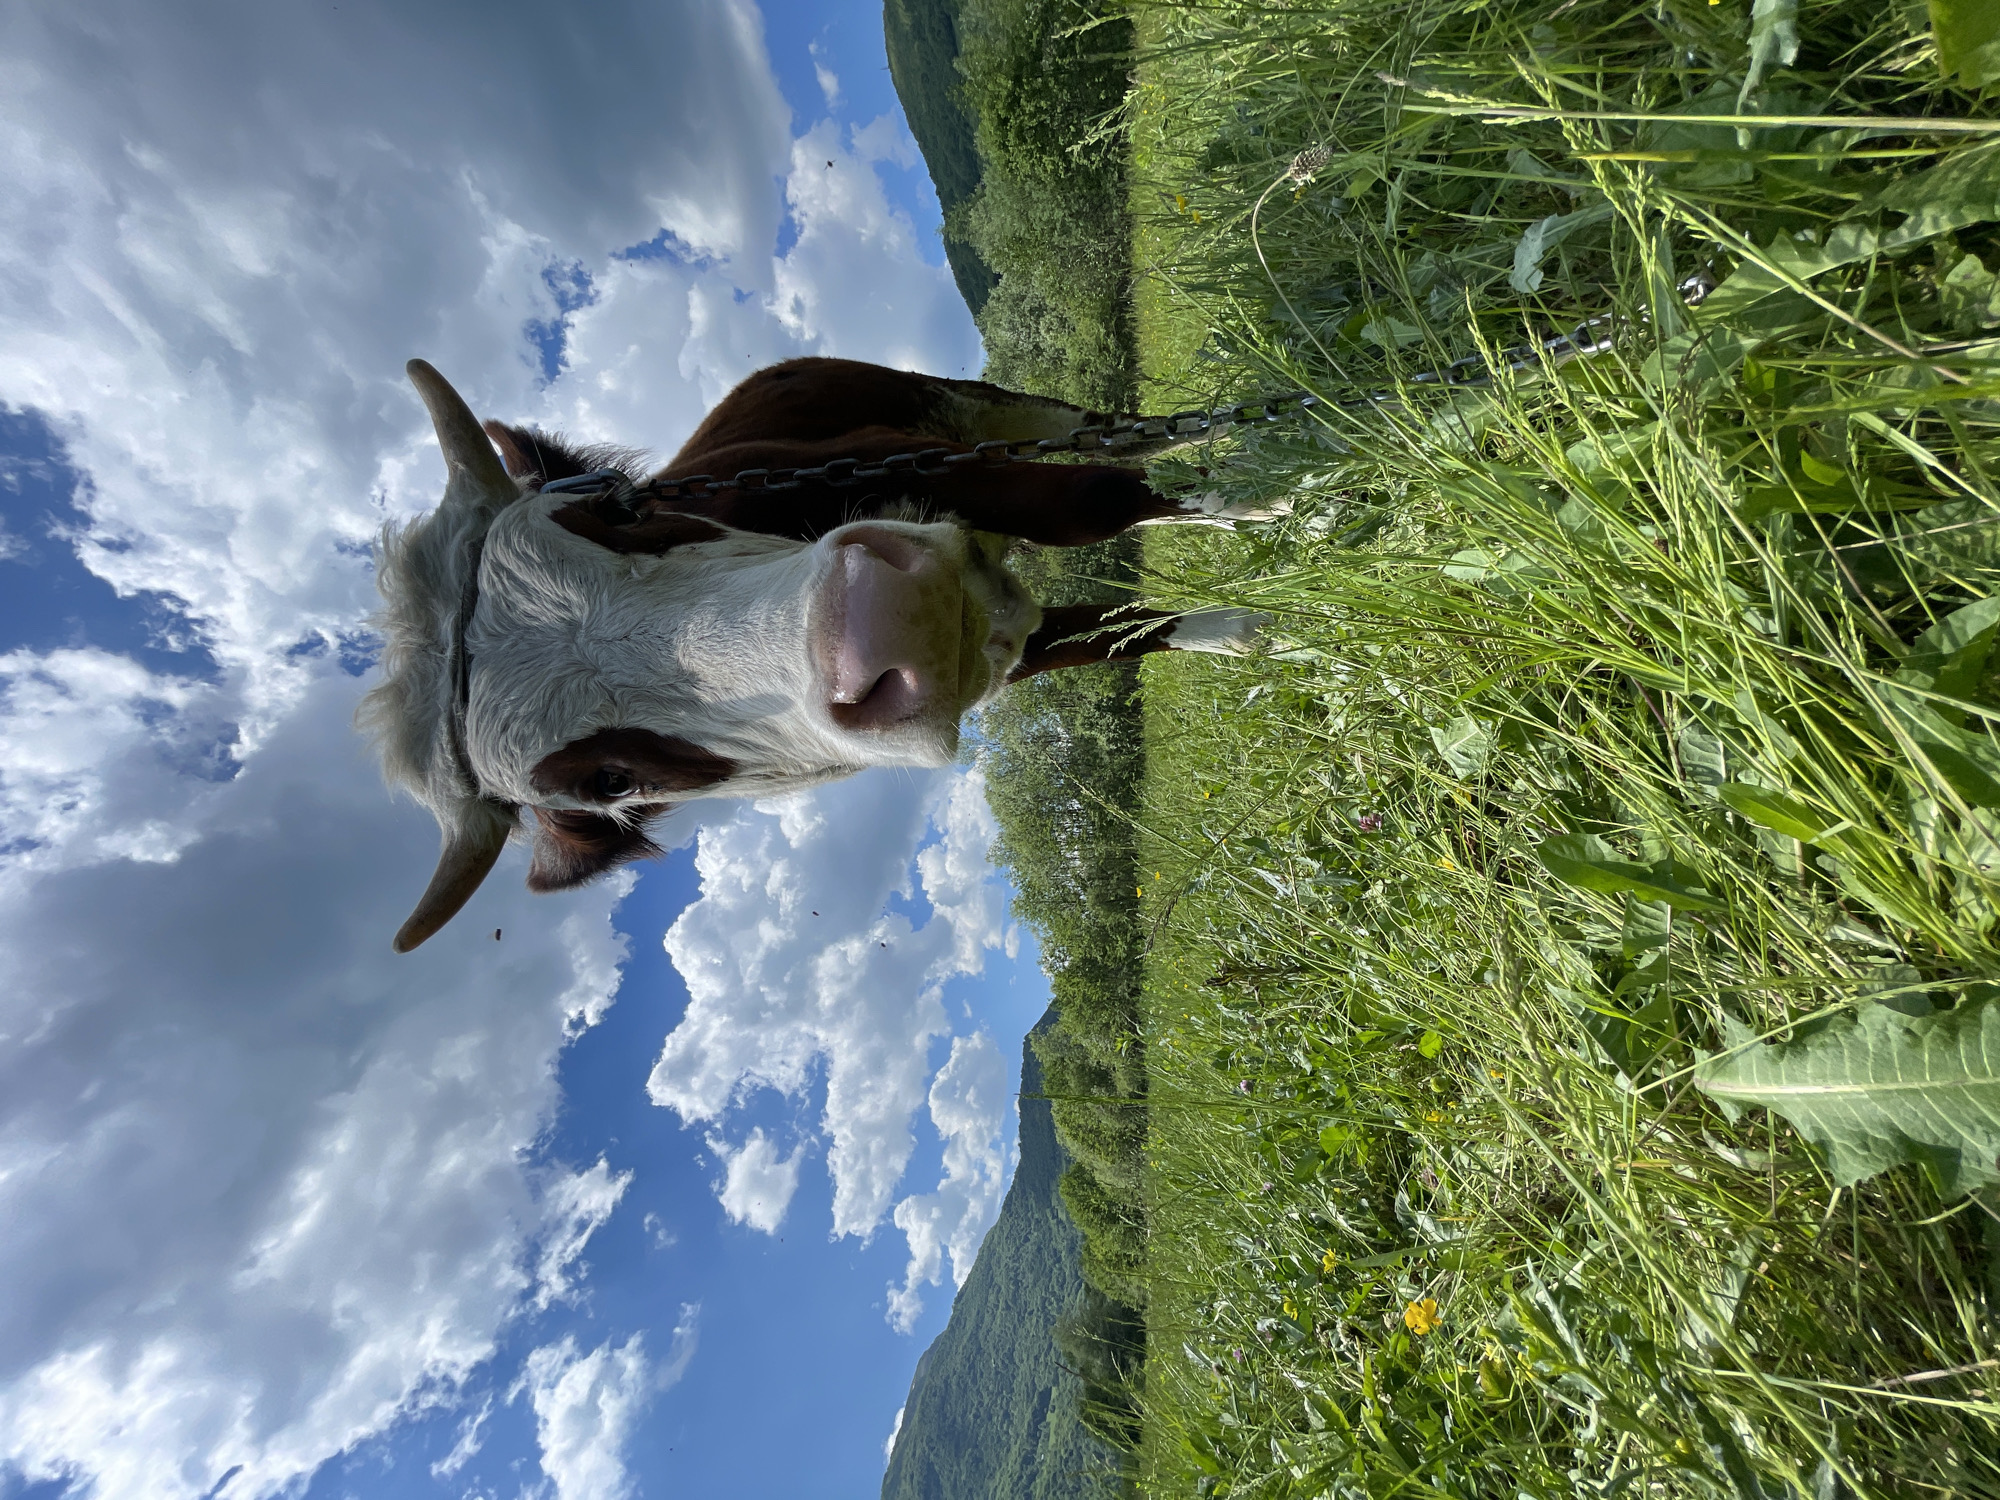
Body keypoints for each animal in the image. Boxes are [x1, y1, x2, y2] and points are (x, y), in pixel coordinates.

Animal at [360, 357, 1276, 953]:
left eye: (620, 515)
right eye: (613, 781)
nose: (881, 618)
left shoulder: (934, 463)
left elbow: (1098, 501)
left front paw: (1271, 496)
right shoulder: (1003, 644)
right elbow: (1112, 631)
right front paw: (1238, 628)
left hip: (974, 410)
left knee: (1118, 444)